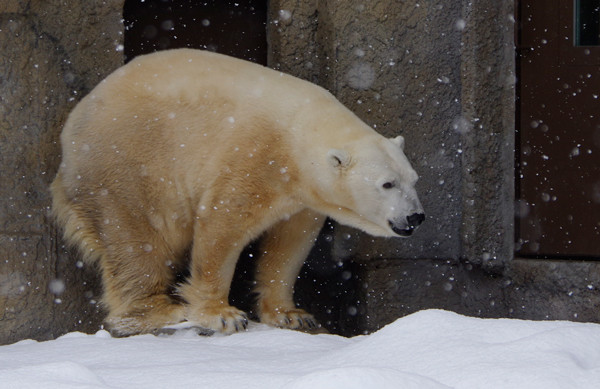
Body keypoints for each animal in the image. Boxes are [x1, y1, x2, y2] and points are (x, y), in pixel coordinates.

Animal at [52, 47, 426, 334]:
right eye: (387, 183)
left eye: (413, 179)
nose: (416, 216)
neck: (296, 136)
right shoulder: (251, 153)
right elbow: (222, 225)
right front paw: (223, 315)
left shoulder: (299, 197)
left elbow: (289, 243)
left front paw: (292, 314)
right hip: (127, 166)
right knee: (138, 239)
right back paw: (160, 310)